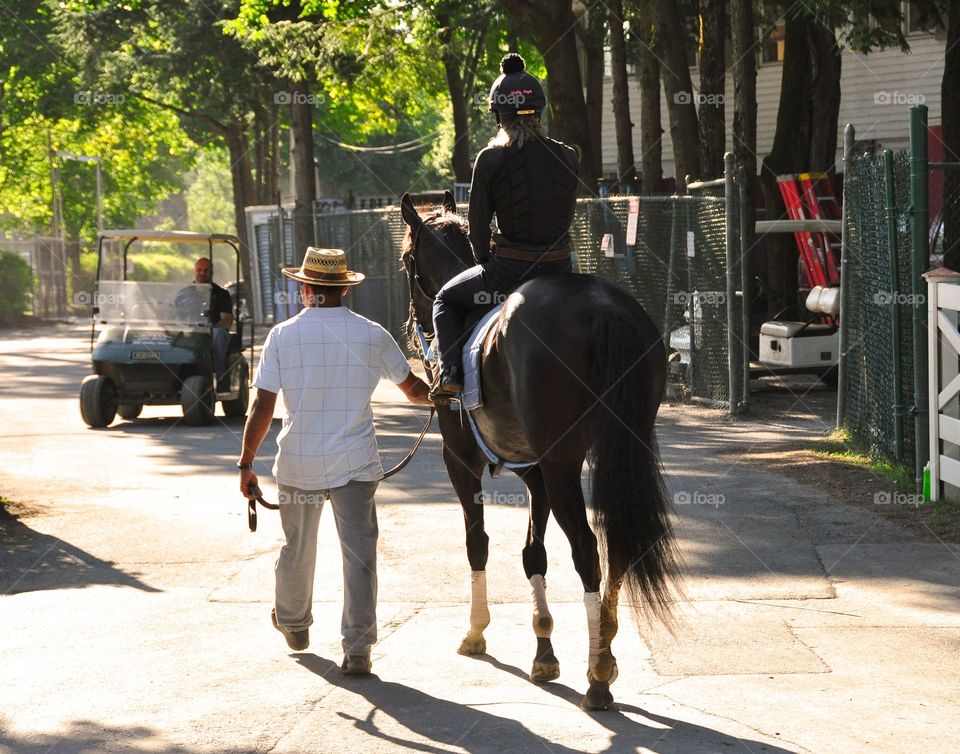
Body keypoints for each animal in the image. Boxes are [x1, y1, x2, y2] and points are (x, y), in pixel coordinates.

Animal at [398, 191, 684, 708]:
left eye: (408, 258)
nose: (412, 323)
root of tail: (604, 308)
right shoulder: (534, 473)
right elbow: (534, 552)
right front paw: (544, 650)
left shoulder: (462, 461)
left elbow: (478, 543)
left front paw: (477, 632)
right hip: (613, 448)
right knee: (619, 542)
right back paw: (604, 648)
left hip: (561, 461)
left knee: (588, 549)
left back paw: (597, 675)